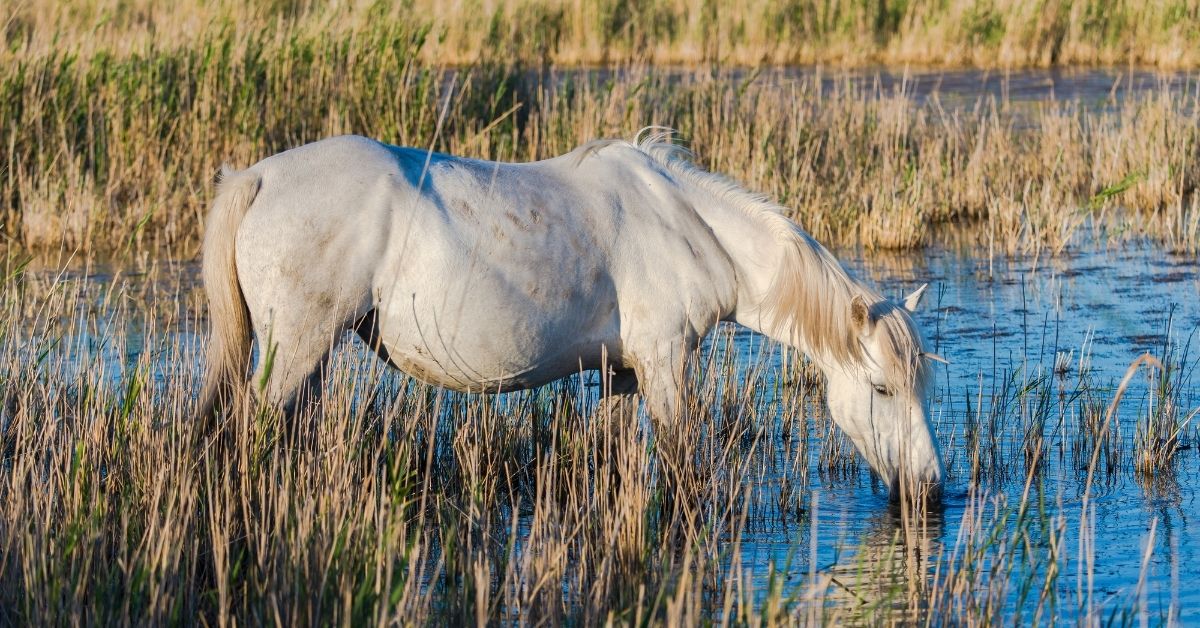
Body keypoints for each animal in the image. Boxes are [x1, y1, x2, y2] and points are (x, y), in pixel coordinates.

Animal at [199, 130, 945, 497]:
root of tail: (257, 176)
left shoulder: (623, 373)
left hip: (309, 355)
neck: (688, 226)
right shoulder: (664, 364)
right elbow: (680, 466)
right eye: (881, 388)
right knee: (250, 435)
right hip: (296, 349)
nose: (930, 488)